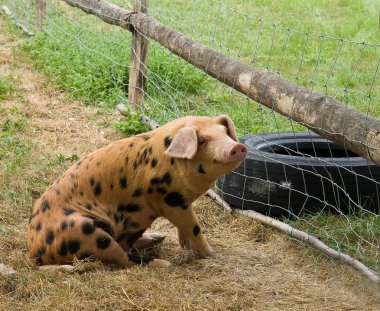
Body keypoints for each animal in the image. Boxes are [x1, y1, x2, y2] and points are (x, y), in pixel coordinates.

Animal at [26, 114, 246, 268]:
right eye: (203, 140)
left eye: (225, 133)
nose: (238, 146)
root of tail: (34, 252)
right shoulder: (169, 199)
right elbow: (193, 226)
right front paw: (212, 254)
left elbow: (184, 227)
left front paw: (184, 245)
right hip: (87, 233)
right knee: (123, 258)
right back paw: (165, 263)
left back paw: (158, 238)